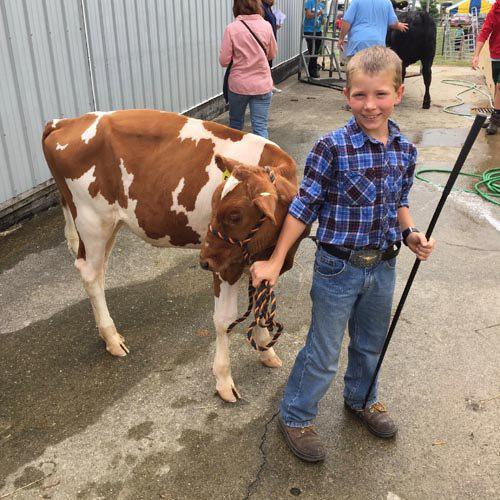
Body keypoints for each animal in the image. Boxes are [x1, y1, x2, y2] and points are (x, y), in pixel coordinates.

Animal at [42, 110, 304, 402]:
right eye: (214, 204)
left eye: (235, 215)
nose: (203, 260)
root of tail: (69, 121)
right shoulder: (226, 264)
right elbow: (224, 321)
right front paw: (224, 380)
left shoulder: (261, 261)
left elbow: (261, 303)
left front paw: (267, 351)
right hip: (92, 220)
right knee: (89, 273)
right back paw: (111, 337)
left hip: (108, 225)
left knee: (97, 273)